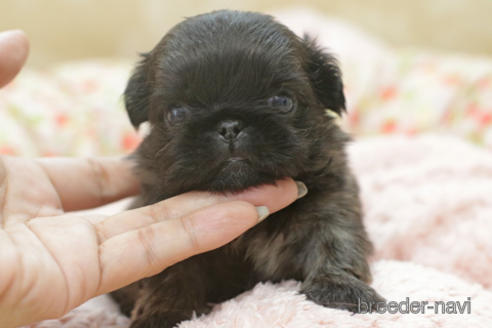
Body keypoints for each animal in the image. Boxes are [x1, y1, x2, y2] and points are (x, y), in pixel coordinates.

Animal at [112, 9, 384, 328]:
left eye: (282, 101)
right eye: (176, 113)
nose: (229, 126)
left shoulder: (330, 202)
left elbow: (335, 241)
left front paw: (339, 289)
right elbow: (171, 272)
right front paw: (165, 313)